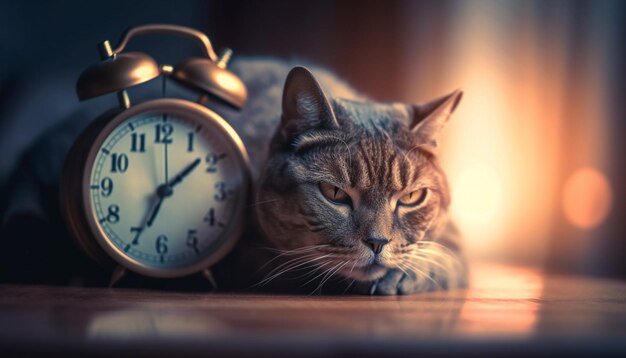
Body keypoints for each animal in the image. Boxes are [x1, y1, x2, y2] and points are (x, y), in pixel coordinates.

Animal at [0, 58, 464, 294]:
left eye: (411, 198)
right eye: (334, 192)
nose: (378, 242)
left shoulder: (451, 235)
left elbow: (445, 256)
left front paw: (405, 273)